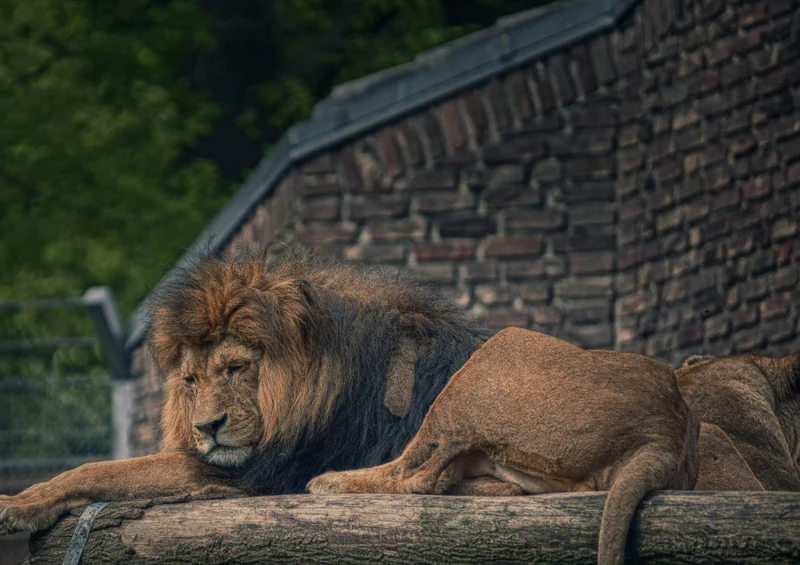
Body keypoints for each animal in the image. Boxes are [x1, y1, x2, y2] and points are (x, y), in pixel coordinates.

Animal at [0, 247, 488, 534]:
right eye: (191, 381)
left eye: (236, 368)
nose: (207, 427)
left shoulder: (259, 471)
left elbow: (100, 469)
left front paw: (18, 503)